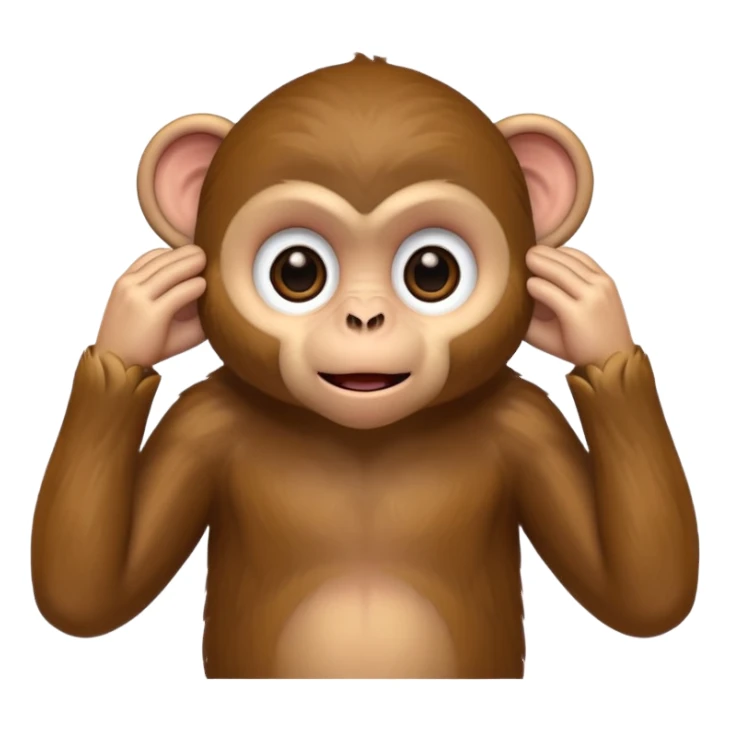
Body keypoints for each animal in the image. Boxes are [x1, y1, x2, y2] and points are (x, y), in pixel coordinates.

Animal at [31, 54, 699, 679]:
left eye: (431, 271)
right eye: (297, 271)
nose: (365, 317)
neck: (364, 440)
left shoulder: (527, 419)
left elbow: (640, 592)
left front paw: (588, 313)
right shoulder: (201, 419)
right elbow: (89, 592)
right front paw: (140, 314)